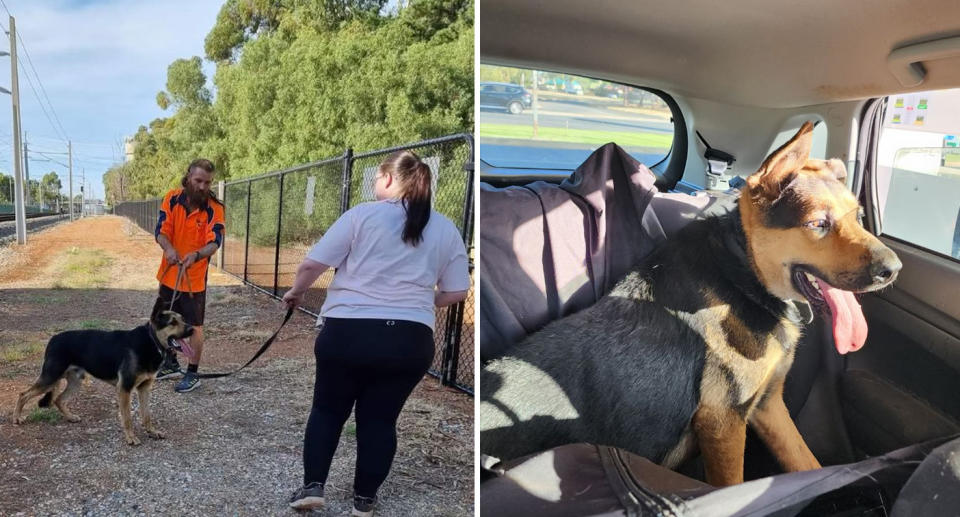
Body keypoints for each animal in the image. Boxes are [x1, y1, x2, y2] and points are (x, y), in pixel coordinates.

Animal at [14, 306, 194, 444]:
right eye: (172, 322)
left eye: (183, 319)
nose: (192, 329)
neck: (152, 340)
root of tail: (53, 338)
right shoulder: (124, 389)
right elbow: (127, 418)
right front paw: (130, 437)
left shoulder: (144, 388)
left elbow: (147, 415)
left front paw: (152, 432)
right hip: (50, 378)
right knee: (23, 394)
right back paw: (17, 419)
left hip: (75, 382)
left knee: (58, 399)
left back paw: (71, 417)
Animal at [484, 123, 904, 486]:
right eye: (818, 224)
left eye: (859, 217)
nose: (894, 269)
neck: (743, 268)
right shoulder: (723, 419)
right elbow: (732, 484)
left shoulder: (767, 406)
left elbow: (806, 462)